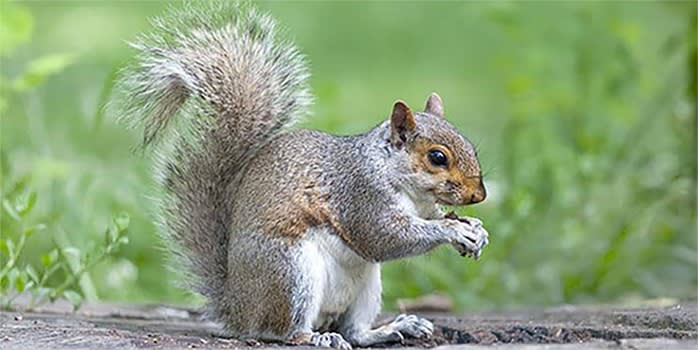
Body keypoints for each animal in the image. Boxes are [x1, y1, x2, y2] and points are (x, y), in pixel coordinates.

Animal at [111, 2, 486, 350]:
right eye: (437, 157)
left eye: (471, 146)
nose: (478, 196)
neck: (405, 185)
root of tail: (238, 309)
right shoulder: (359, 195)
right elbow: (385, 237)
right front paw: (453, 230)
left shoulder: (421, 207)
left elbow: (431, 218)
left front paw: (475, 229)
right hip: (290, 272)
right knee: (284, 332)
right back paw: (319, 337)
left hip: (366, 285)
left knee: (356, 332)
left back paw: (394, 327)